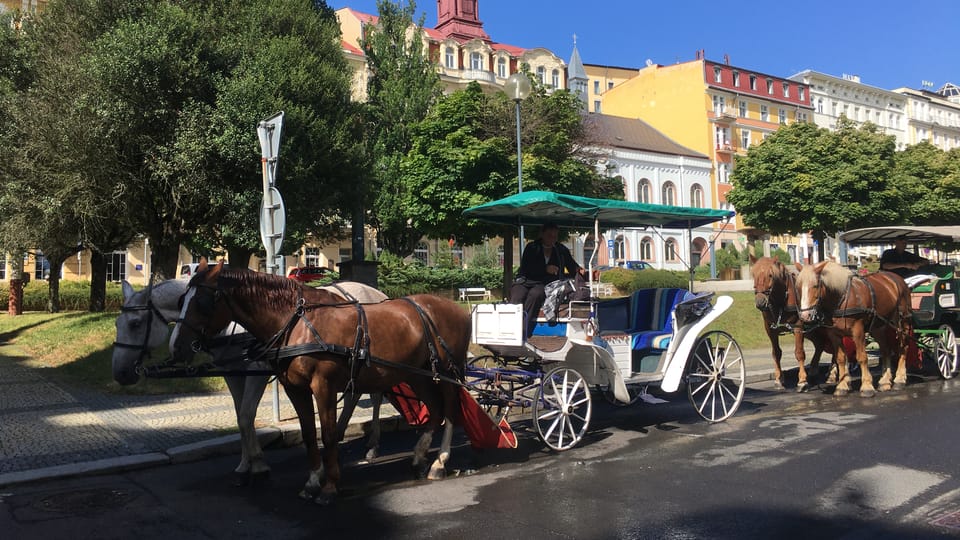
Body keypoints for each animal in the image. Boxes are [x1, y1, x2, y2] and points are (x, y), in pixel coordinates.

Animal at [115, 278, 390, 486]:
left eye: (136, 323)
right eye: (117, 323)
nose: (120, 373)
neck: (230, 325)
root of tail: (378, 293)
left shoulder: (255, 370)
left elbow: (247, 414)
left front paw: (257, 465)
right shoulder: (231, 372)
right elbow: (240, 417)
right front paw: (244, 463)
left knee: (376, 396)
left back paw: (373, 444)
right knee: (354, 395)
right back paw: (339, 435)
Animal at [172, 260, 472, 504]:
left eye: (202, 302)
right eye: (180, 300)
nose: (176, 346)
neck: (297, 323)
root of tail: (458, 309)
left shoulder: (323, 385)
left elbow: (326, 434)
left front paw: (329, 485)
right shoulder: (295, 388)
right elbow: (308, 434)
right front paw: (313, 480)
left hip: (448, 372)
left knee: (450, 409)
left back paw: (440, 461)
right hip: (416, 374)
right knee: (435, 410)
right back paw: (420, 456)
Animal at [748, 255, 828, 390]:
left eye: (771, 275)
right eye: (754, 274)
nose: (760, 302)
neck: (781, 300)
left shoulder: (798, 327)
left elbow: (799, 353)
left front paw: (802, 381)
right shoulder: (770, 330)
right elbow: (776, 353)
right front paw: (779, 379)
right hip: (811, 331)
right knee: (820, 344)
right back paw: (813, 370)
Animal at [796, 262, 916, 396]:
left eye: (816, 286)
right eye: (798, 287)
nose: (805, 316)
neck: (841, 298)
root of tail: (898, 279)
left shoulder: (858, 331)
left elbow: (862, 357)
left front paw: (867, 386)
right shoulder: (834, 334)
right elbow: (840, 358)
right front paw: (842, 386)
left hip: (902, 323)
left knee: (903, 347)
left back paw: (900, 379)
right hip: (878, 327)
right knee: (886, 350)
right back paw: (885, 381)